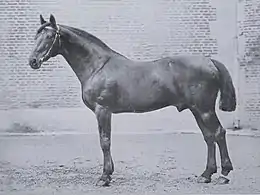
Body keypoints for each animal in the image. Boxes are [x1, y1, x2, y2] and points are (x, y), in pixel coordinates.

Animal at [27, 14, 236, 187]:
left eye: (49, 36)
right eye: (36, 36)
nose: (33, 61)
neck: (97, 66)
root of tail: (209, 61)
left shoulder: (102, 110)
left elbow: (105, 141)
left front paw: (104, 177)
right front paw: (109, 173)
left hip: (204, 109)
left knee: (219, 133)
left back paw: (224, 174)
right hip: (196, 109)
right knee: (209, 137)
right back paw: (206, 174)